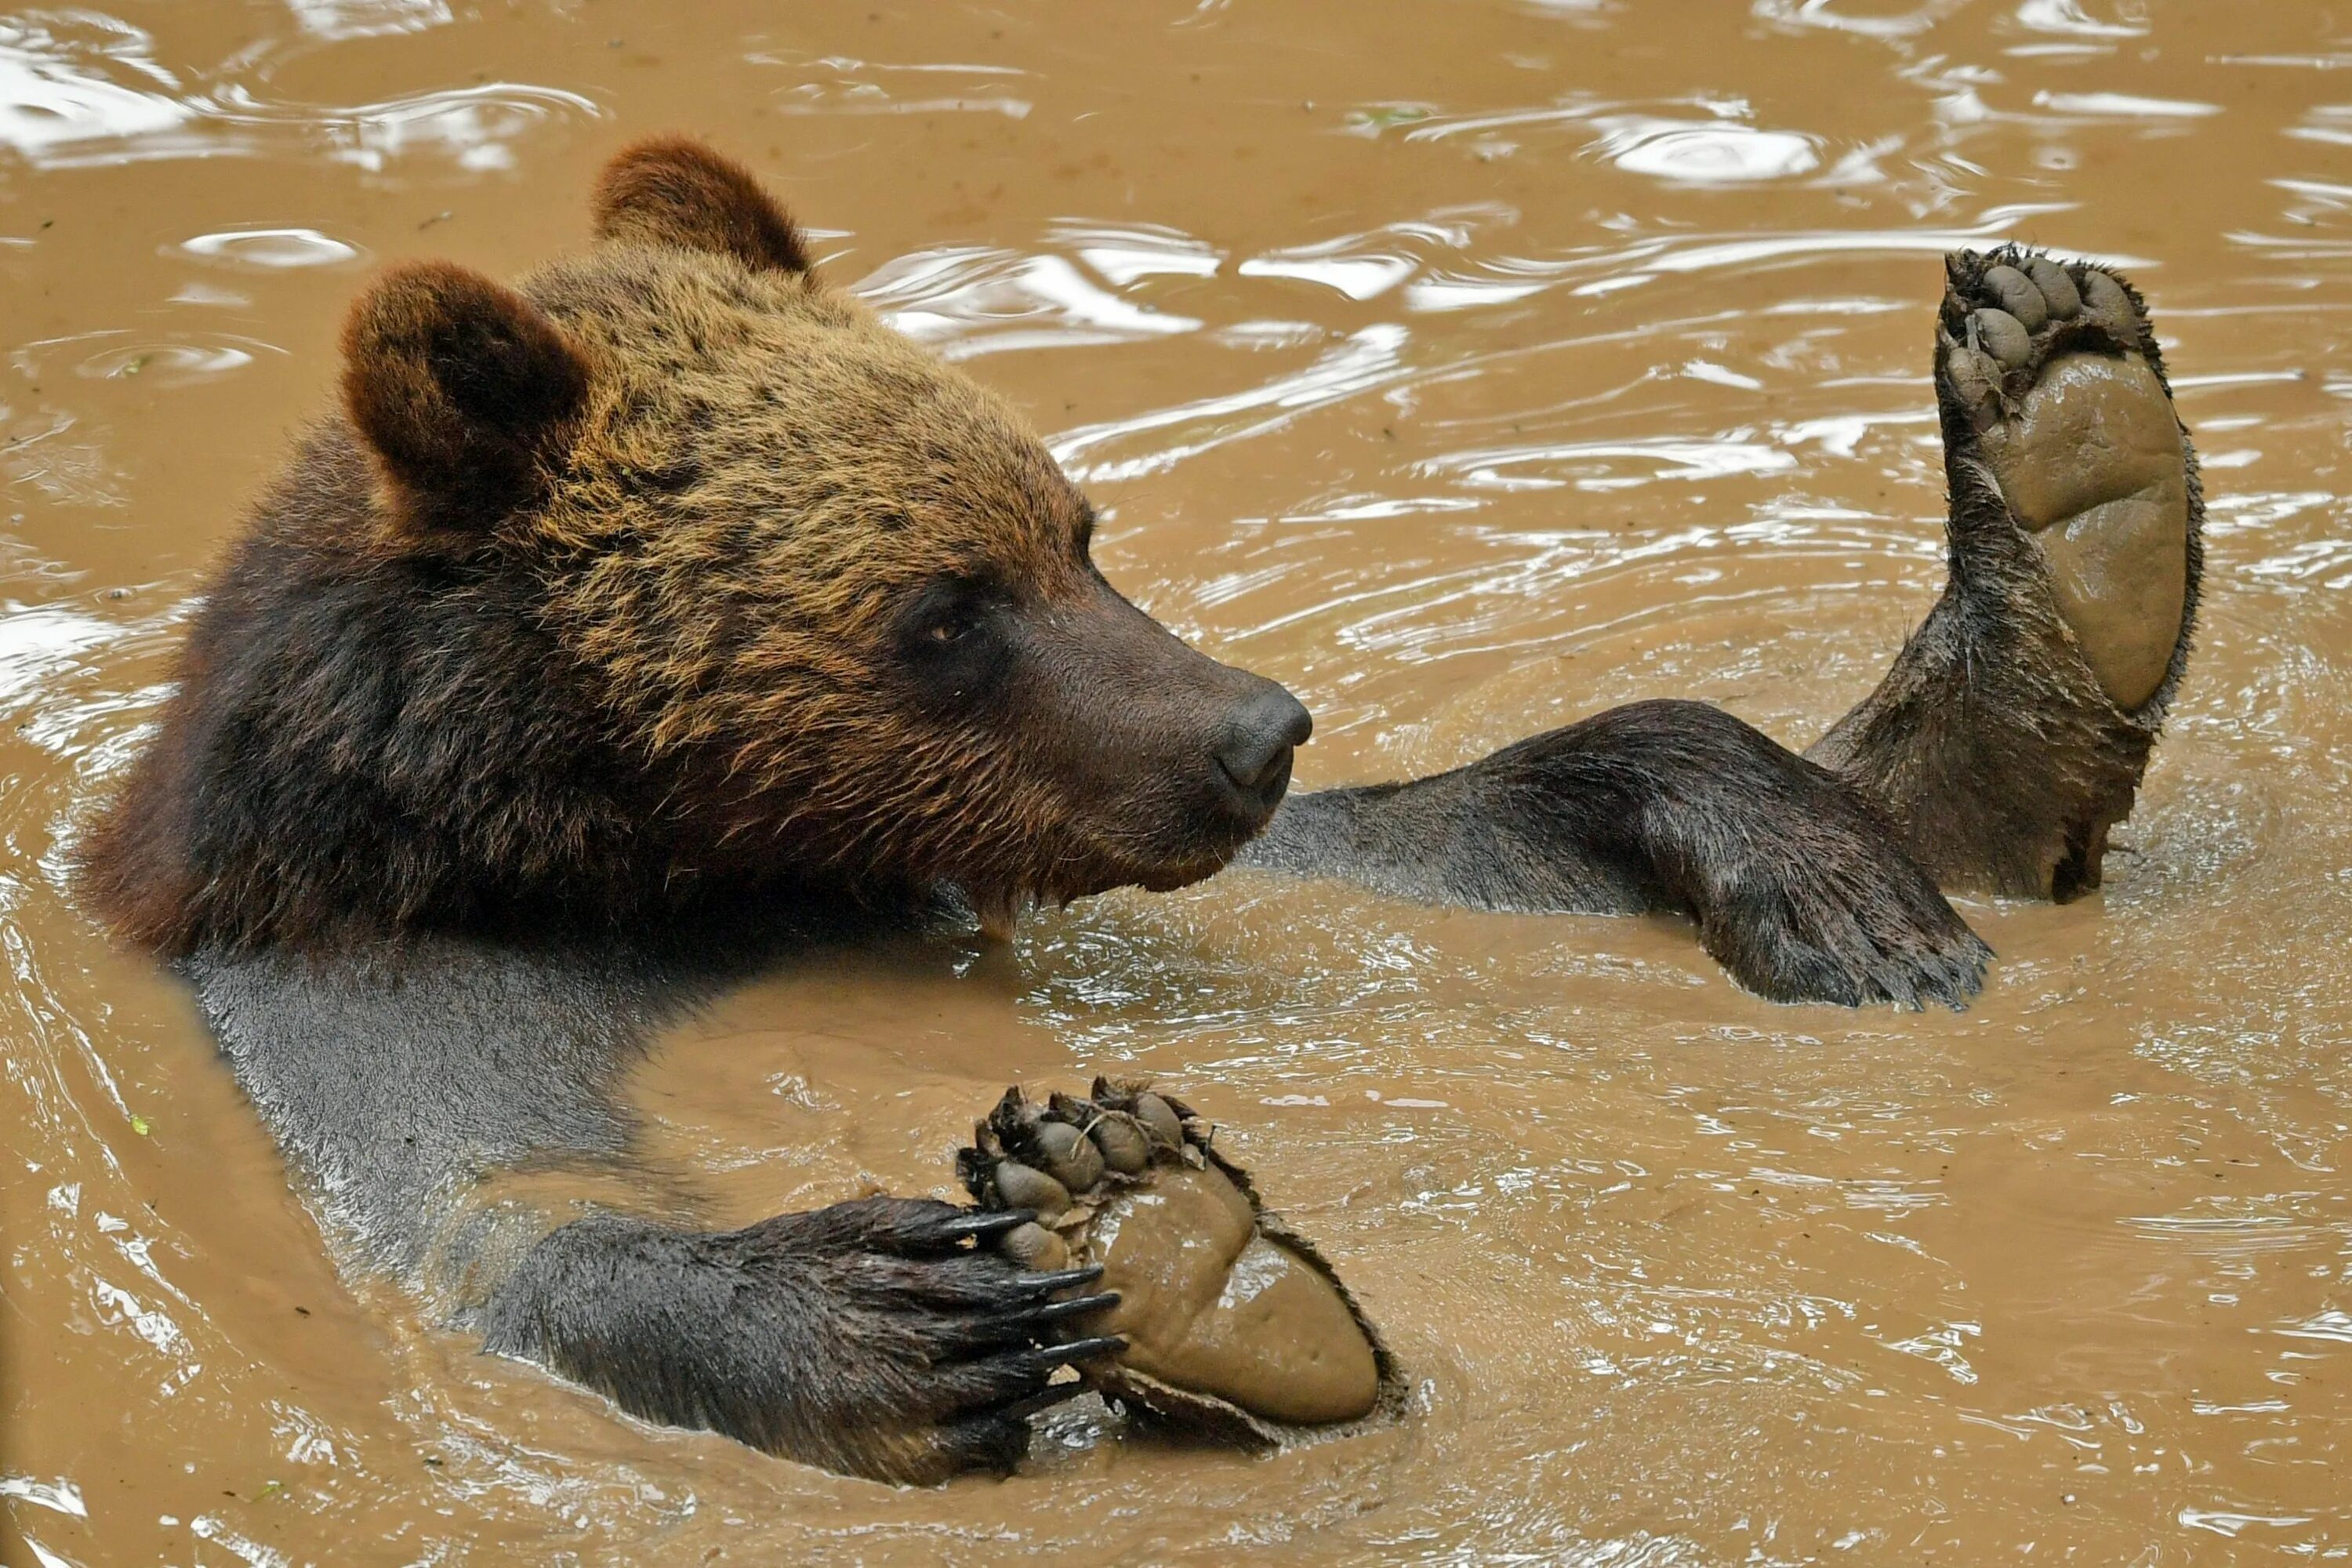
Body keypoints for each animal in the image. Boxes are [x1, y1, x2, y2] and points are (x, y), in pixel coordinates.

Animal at [78, 138, 2201, 1486]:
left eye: (1074, 526)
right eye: (941, 610)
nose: (1255, 728)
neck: (692, 871)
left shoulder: (1004, 854)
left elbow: (1495, 806)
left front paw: (1836, 876)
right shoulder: (408, 976)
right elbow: (492, 1204)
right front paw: (902, 1300)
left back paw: (2066, 480)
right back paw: (1198, 1268)